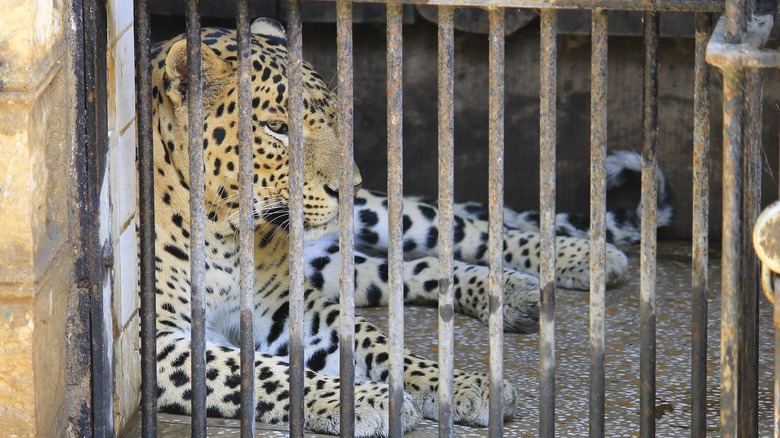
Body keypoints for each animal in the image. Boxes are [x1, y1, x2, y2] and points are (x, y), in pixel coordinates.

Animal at [149, 18, 672, 438]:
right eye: (276, 127)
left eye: (333, 116)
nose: (350, 184)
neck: (226, 231)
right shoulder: (159, 345)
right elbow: (260, 372)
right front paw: (362, 400)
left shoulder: (281, 304)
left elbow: (375, 341)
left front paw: (458, 385)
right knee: (395, 272)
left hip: (384, 218)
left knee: (455, 233)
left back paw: (572, 264)